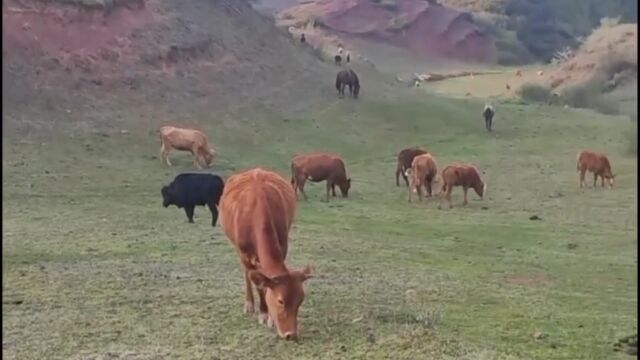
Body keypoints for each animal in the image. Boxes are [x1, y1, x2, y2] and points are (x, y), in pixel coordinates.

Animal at [218, 167, 312, 342]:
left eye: (301, 300)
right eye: (280, 301)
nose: (291, 334)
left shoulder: (283, 245)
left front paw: (269, 316)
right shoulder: (244, 253)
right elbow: (258, 283)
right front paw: (263, 313)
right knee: (246, 274)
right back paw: (249, 303)